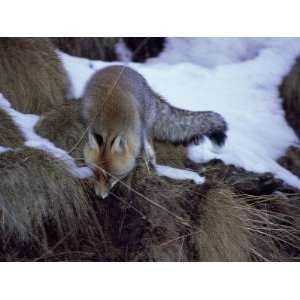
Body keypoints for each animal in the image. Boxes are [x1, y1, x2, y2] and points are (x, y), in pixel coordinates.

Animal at [81, 64, 226, 198]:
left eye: (112, 176)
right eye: (95, 173)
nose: (99, 196)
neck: (110, 125)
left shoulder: (136, 144)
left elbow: (131, 169)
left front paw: (127, 187)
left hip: (146, 131)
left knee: (152, 158)